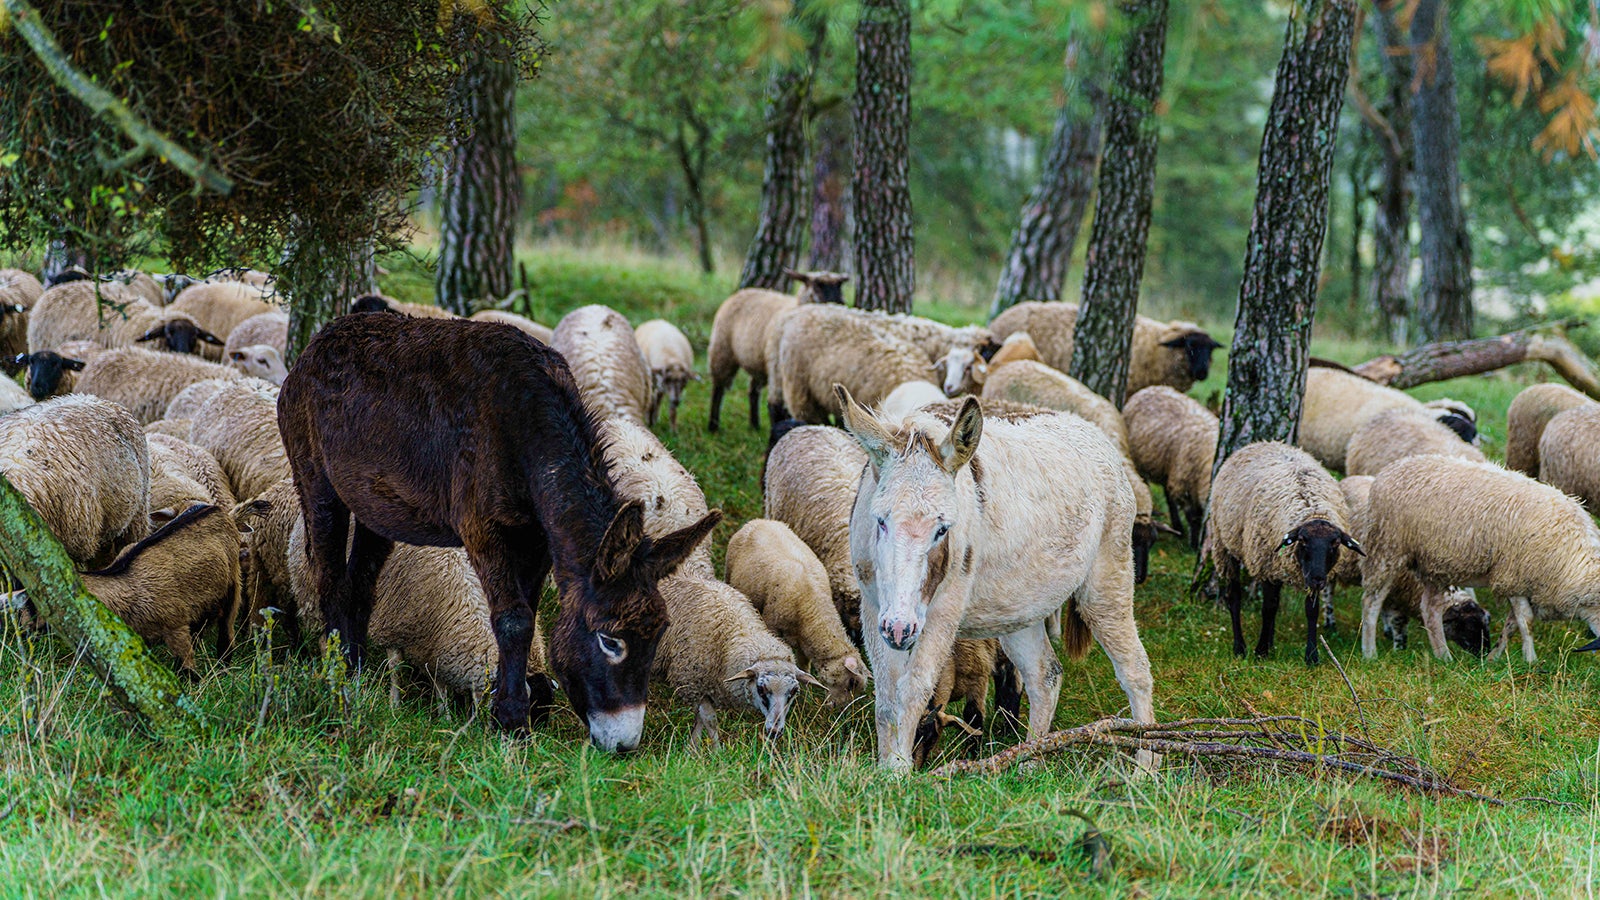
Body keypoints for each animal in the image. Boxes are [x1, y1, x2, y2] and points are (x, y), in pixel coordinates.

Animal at [286, 515, 546, 705]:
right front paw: (395, 705)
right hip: (314, 596)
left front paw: (444, 714)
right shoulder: (395, 623)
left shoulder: (433, 642)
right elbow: (395, 668)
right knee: (324, 641)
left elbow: (439, 682)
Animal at [652, 573, 819, 744]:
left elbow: (699, 722)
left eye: (794, 691)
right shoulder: (691, 684)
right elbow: (710, 721)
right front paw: (716, 748)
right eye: (761, 689)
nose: (774, 732)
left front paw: (693, 747)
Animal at [725, 519, 869, 707]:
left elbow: (804, 667)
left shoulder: (804, 643)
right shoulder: (772, 625)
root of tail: (759, 521)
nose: (834, 708)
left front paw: (806, 694)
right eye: (851, 682)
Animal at [1206, 441, 1362, 665]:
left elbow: (1311, 611)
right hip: (1225, 545)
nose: (1318, 579)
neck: (1309, 506)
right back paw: (1240, 647)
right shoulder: (1267, 566)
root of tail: (1262, 442)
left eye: (1335, 543)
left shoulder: (1307, 574)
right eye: (1303, 541)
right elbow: (1268, 608)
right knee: (1234, 597)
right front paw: (1261, 651)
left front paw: (1311, 656)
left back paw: (1270, 643)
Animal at [1359, 455, 1600, 664]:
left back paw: (1444, 657)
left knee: (1430, 608)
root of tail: (1393, 467)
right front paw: (1530, 660)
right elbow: (1526, 622)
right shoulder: (1513, 576)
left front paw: (1493, 658)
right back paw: (1370, 653)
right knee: (1372, 602)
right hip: (1387, 548)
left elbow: (1511, 625)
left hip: (1434, 565)